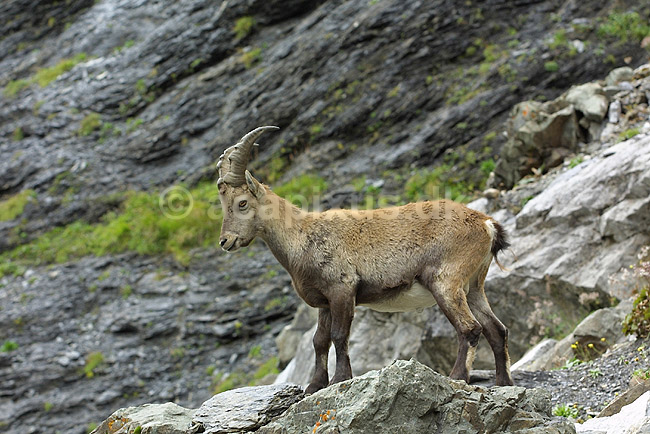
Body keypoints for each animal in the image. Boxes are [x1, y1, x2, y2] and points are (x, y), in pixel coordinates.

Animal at [217, 126, 514, 393]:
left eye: (242, 202)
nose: (225, 241)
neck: (301, 235)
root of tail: (487, 224)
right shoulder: (324, 301)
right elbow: (319, 340)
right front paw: (314, 386)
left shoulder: (343, 289)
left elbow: (339, 335)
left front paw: (340, 380)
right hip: (473, 285)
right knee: (496, 329)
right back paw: (504, 382)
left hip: (445, 280)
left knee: (471, 328)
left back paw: (457, 377)